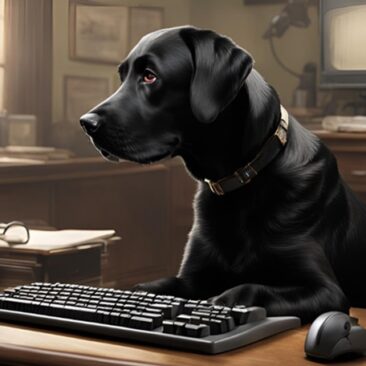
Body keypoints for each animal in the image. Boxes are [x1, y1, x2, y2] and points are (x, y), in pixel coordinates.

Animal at [81, 26, 366, 324]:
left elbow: (249, 288)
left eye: (150, 76)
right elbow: (153, 285)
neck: (239, 183)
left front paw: (220, 301)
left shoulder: (327, 290)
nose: (86, 123)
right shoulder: (191, 278)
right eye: (122, 76)